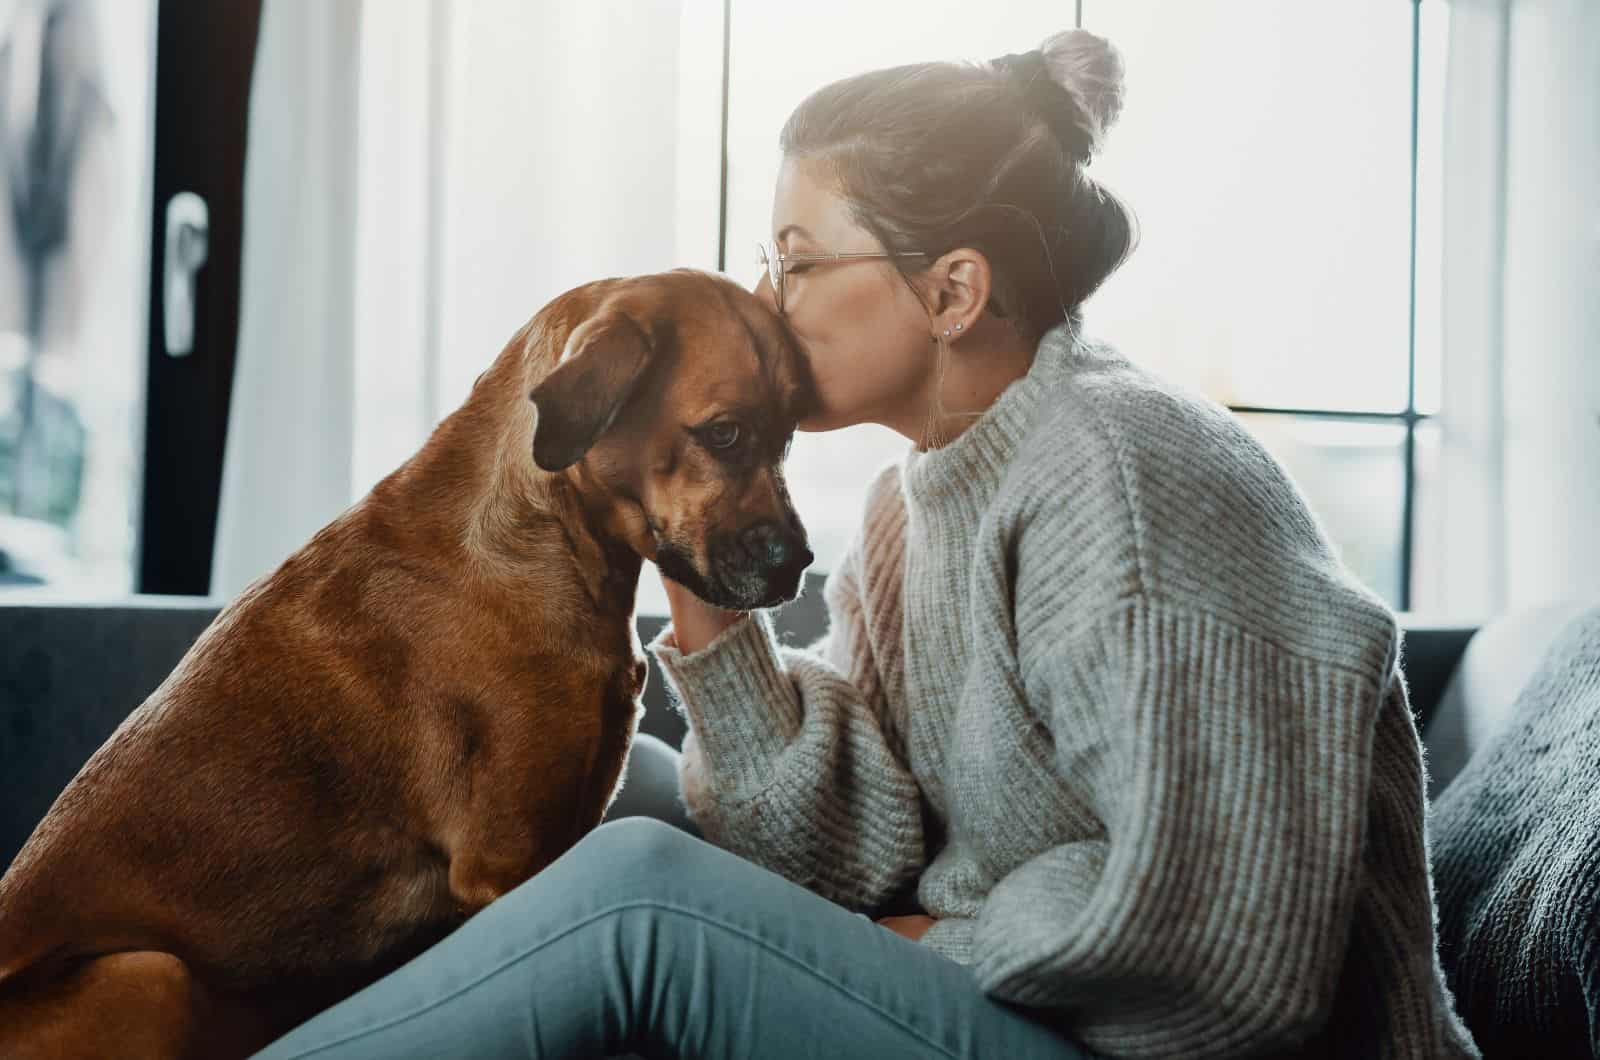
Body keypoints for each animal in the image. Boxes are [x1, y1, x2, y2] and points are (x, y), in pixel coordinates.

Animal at [0, 272, 812, 1060]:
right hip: (152, 975)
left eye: (788, 436)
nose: (799, 565)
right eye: (723, 434)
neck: (545, 540)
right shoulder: (510, 864)